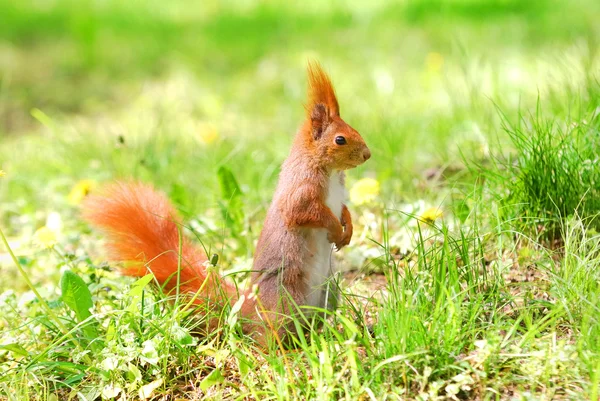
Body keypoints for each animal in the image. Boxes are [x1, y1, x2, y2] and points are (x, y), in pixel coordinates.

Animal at [81, 61, 368, 344]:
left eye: (355, 129)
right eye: (340, 139)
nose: (367, 154)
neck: (329, 170)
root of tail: (248, 310)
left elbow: (343, 209)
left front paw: (347, 230)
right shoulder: (300, 191)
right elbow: (306, 213)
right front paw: (335, 228)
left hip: (330, 292)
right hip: (286, 297)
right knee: (270, 338)